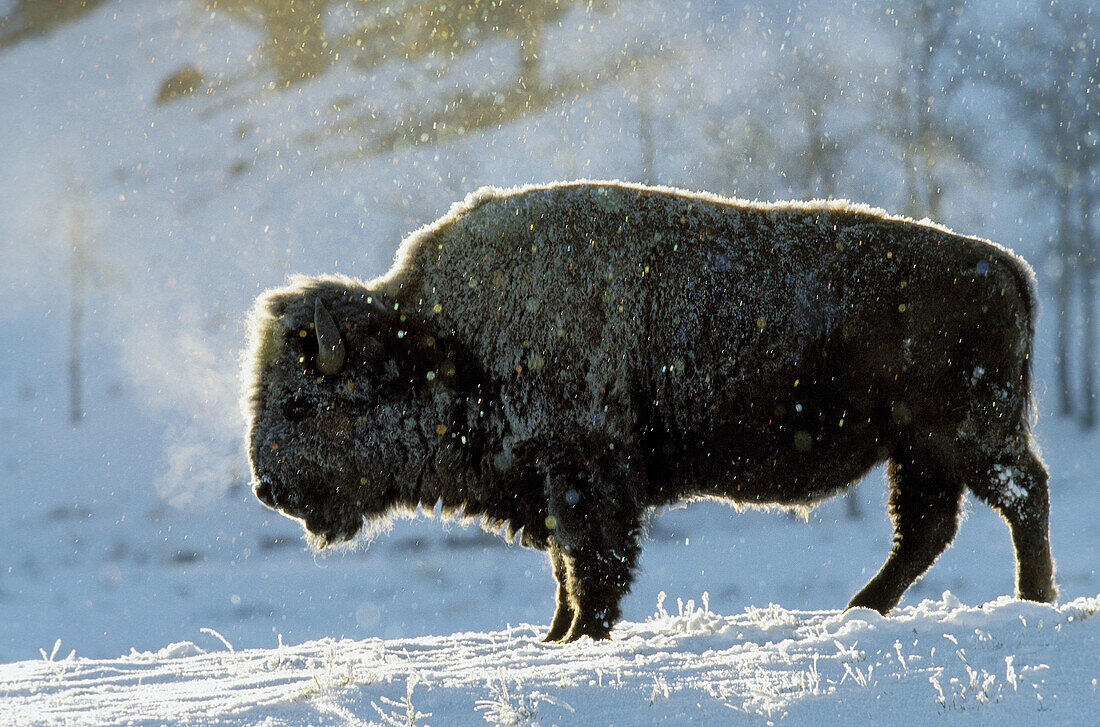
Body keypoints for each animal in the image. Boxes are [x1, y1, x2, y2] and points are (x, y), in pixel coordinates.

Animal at [243, 181, 1056, 642]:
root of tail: (1007, 267)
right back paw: (861, 609)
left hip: (969, 437)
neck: (443, 338)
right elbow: (565, 566)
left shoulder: (586, 473)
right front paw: (555, 637)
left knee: (1022, 500)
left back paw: (1033, 599)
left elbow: (590, 560)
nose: (266, 487)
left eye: (299, 402)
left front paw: (582, 636)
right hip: (919, 450)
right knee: (927, 529)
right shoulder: (554, 483)